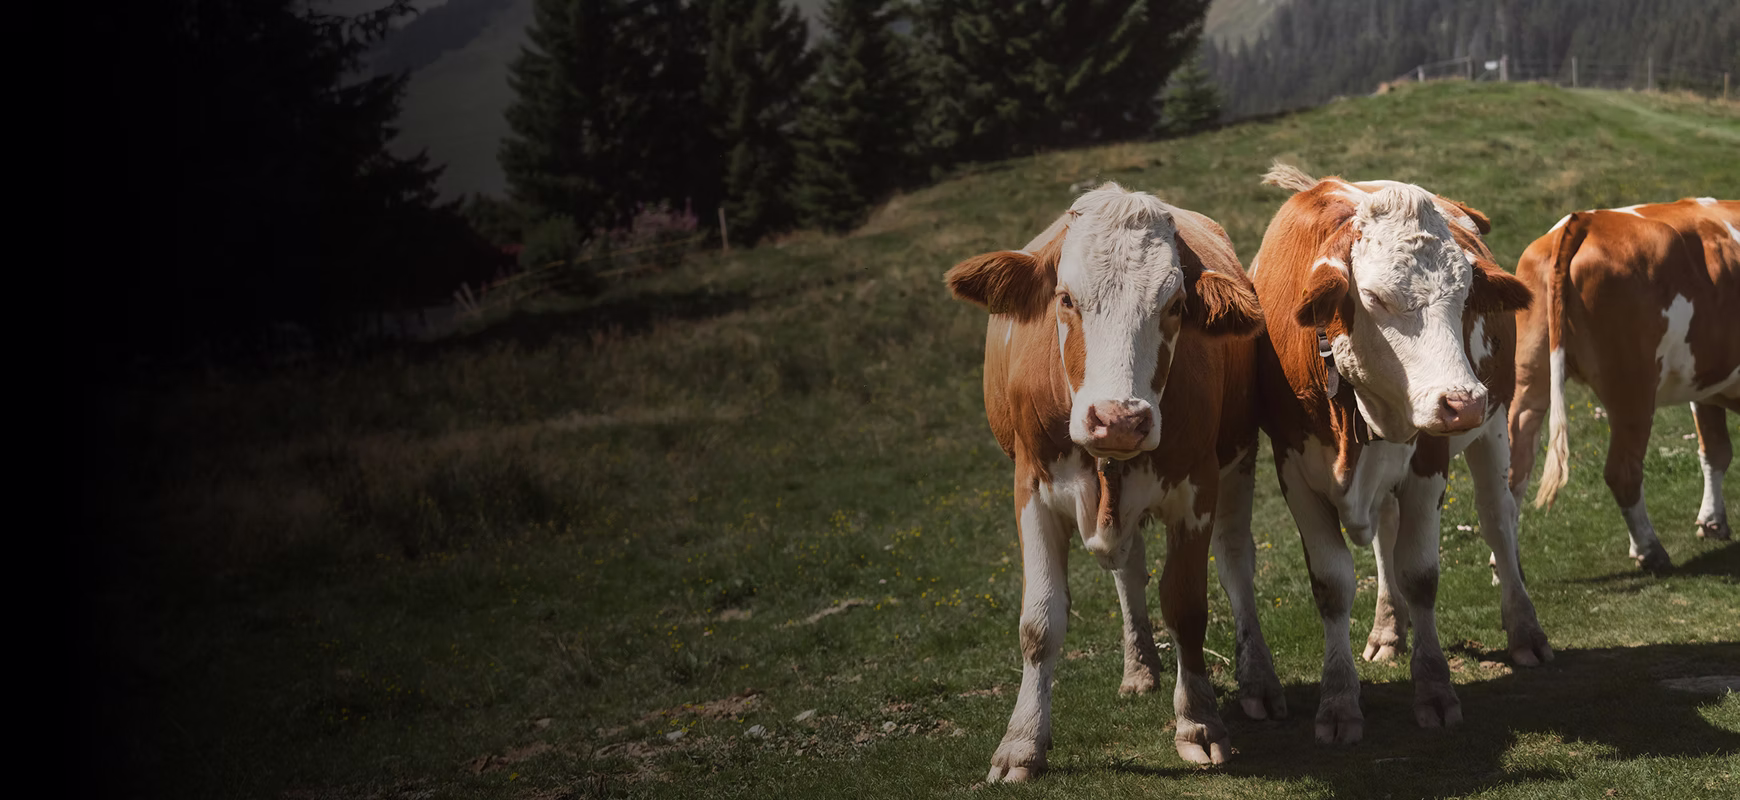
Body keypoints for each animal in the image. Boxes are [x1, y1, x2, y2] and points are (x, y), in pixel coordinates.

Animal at [945, 183, 1264, 781]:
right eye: (1066, 299)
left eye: (1175, 305)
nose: (1118, 419)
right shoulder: (1031, 490)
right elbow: (1039, 623)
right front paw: (1021, 742)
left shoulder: (1197, 489)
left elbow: (1187, 606)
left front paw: (1198, 721)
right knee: (1129, 572)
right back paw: (1139, 668)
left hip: (1240, 460)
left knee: (1236, 562)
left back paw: (1259, 680)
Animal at [1211, 163, 1551, 746]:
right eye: (1374, 298)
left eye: (1465, 297)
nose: (1462, 400)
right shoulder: (1293, 469)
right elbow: (1333, 583)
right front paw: (1339, 701)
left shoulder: (1430, 461)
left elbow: (1420, 573)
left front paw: (1434, 689)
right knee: (1386, 536)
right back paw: (1390, 629)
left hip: (1494, 427)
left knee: (1497, 518)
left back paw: (1524, 629)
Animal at [1510, 198, 1740, 570]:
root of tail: (1584, 220)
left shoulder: (1705, 379)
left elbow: (1715, 449)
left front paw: (1712, 522)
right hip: (1632, 388)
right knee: (1623, 471)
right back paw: (1650, 551)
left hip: (1529, 378)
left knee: (1513, 468)